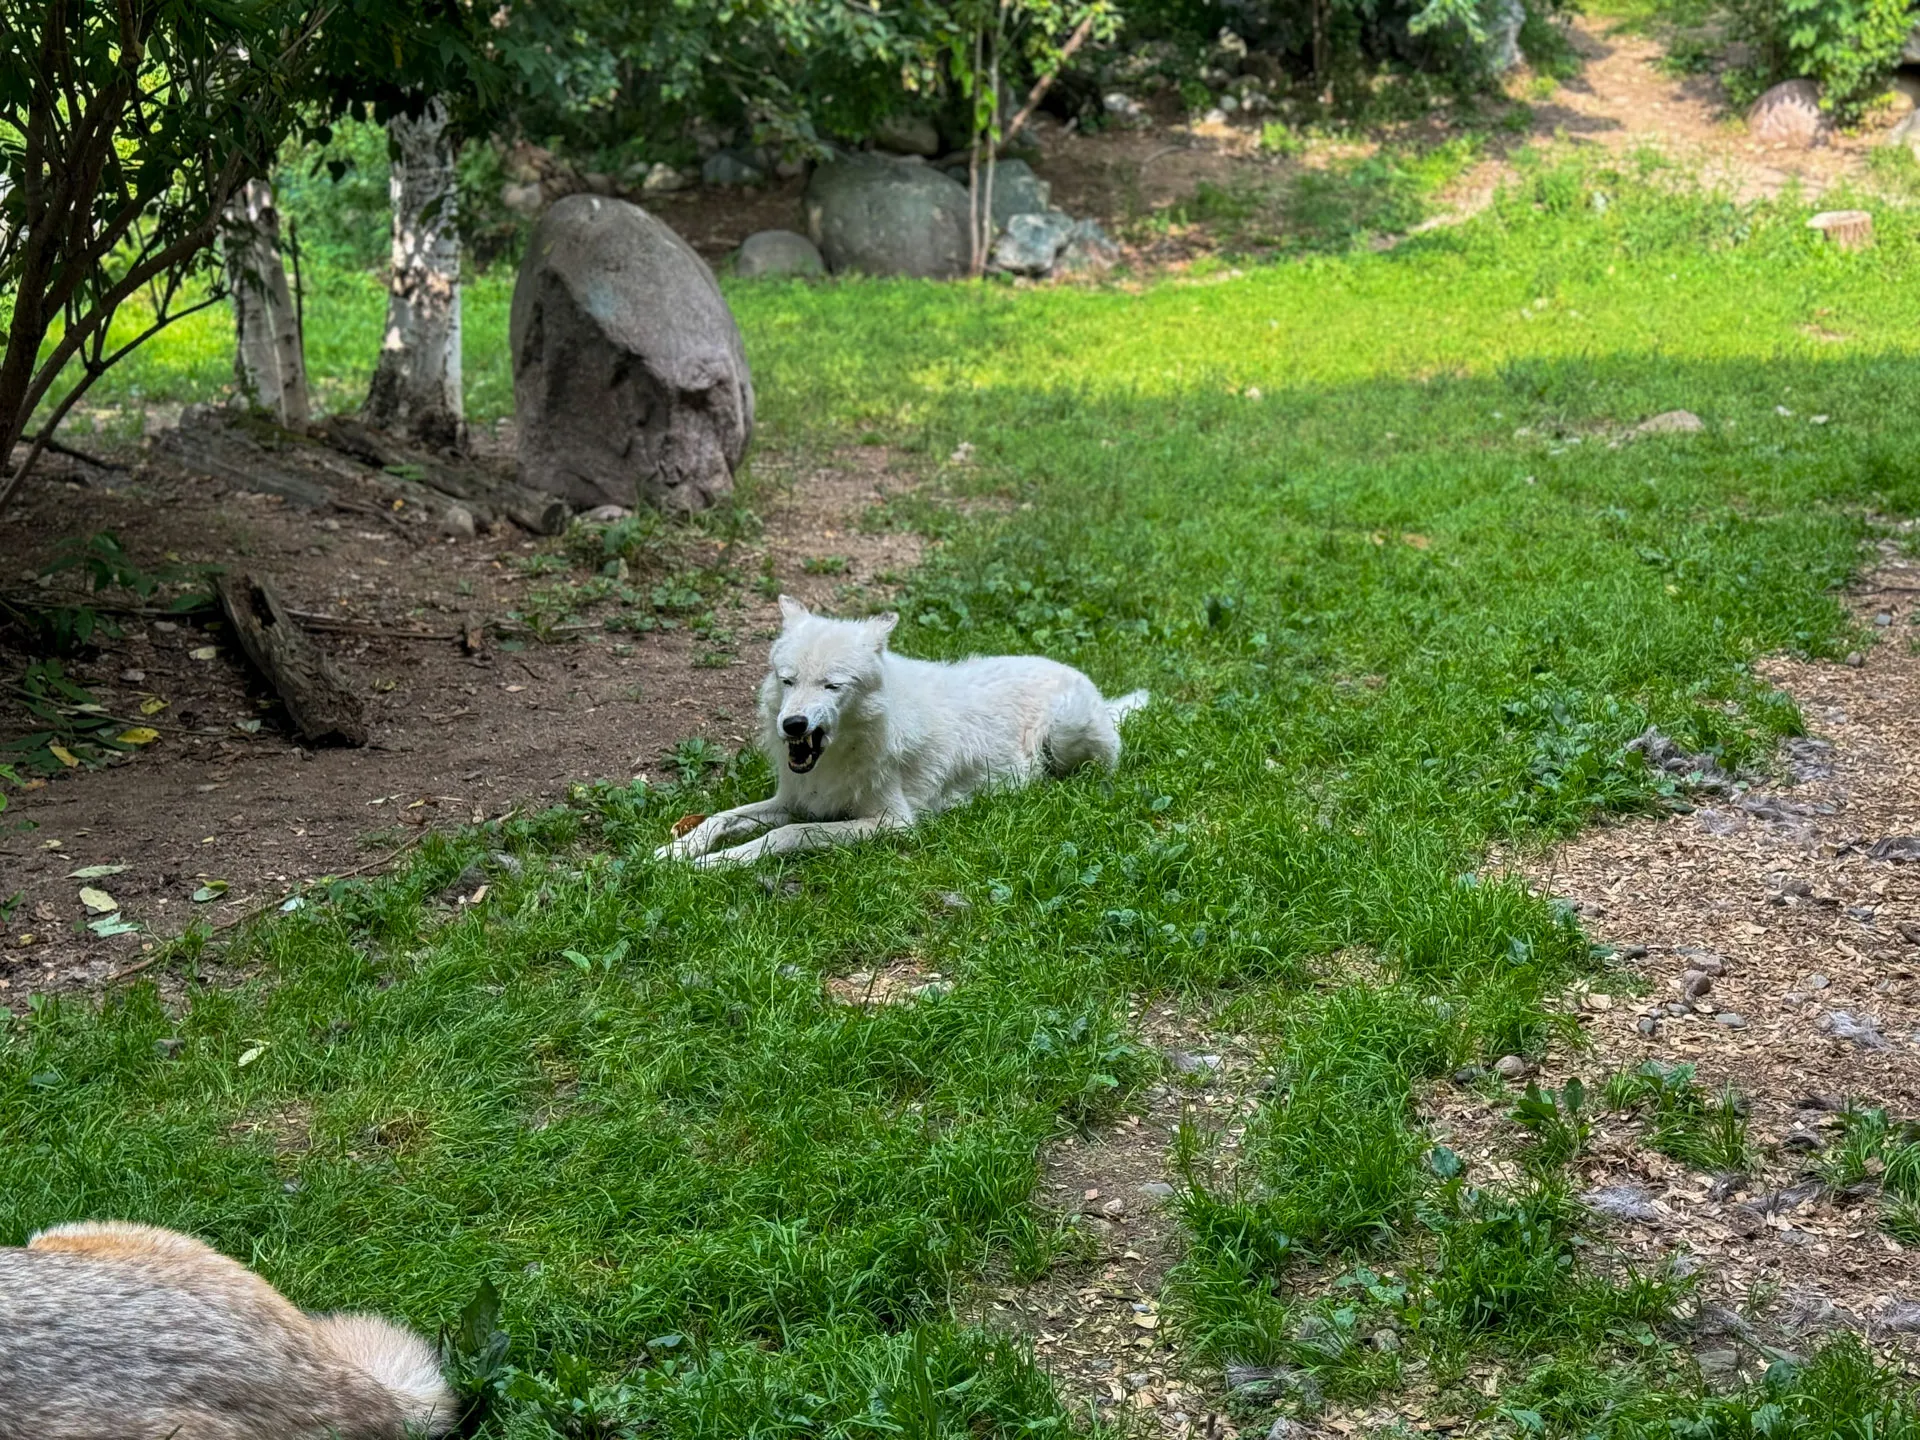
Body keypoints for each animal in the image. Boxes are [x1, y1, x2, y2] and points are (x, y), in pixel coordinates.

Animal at [655, 597, 1148, 868]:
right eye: (788, 680)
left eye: (832, 685)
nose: (793, 725)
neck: (843, 753)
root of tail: (1092, 688)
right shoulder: (797, 799)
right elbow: (722, 817)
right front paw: (675, 852)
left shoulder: (892, 823)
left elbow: (788, 835)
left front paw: (713, 865)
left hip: (1064, 731)